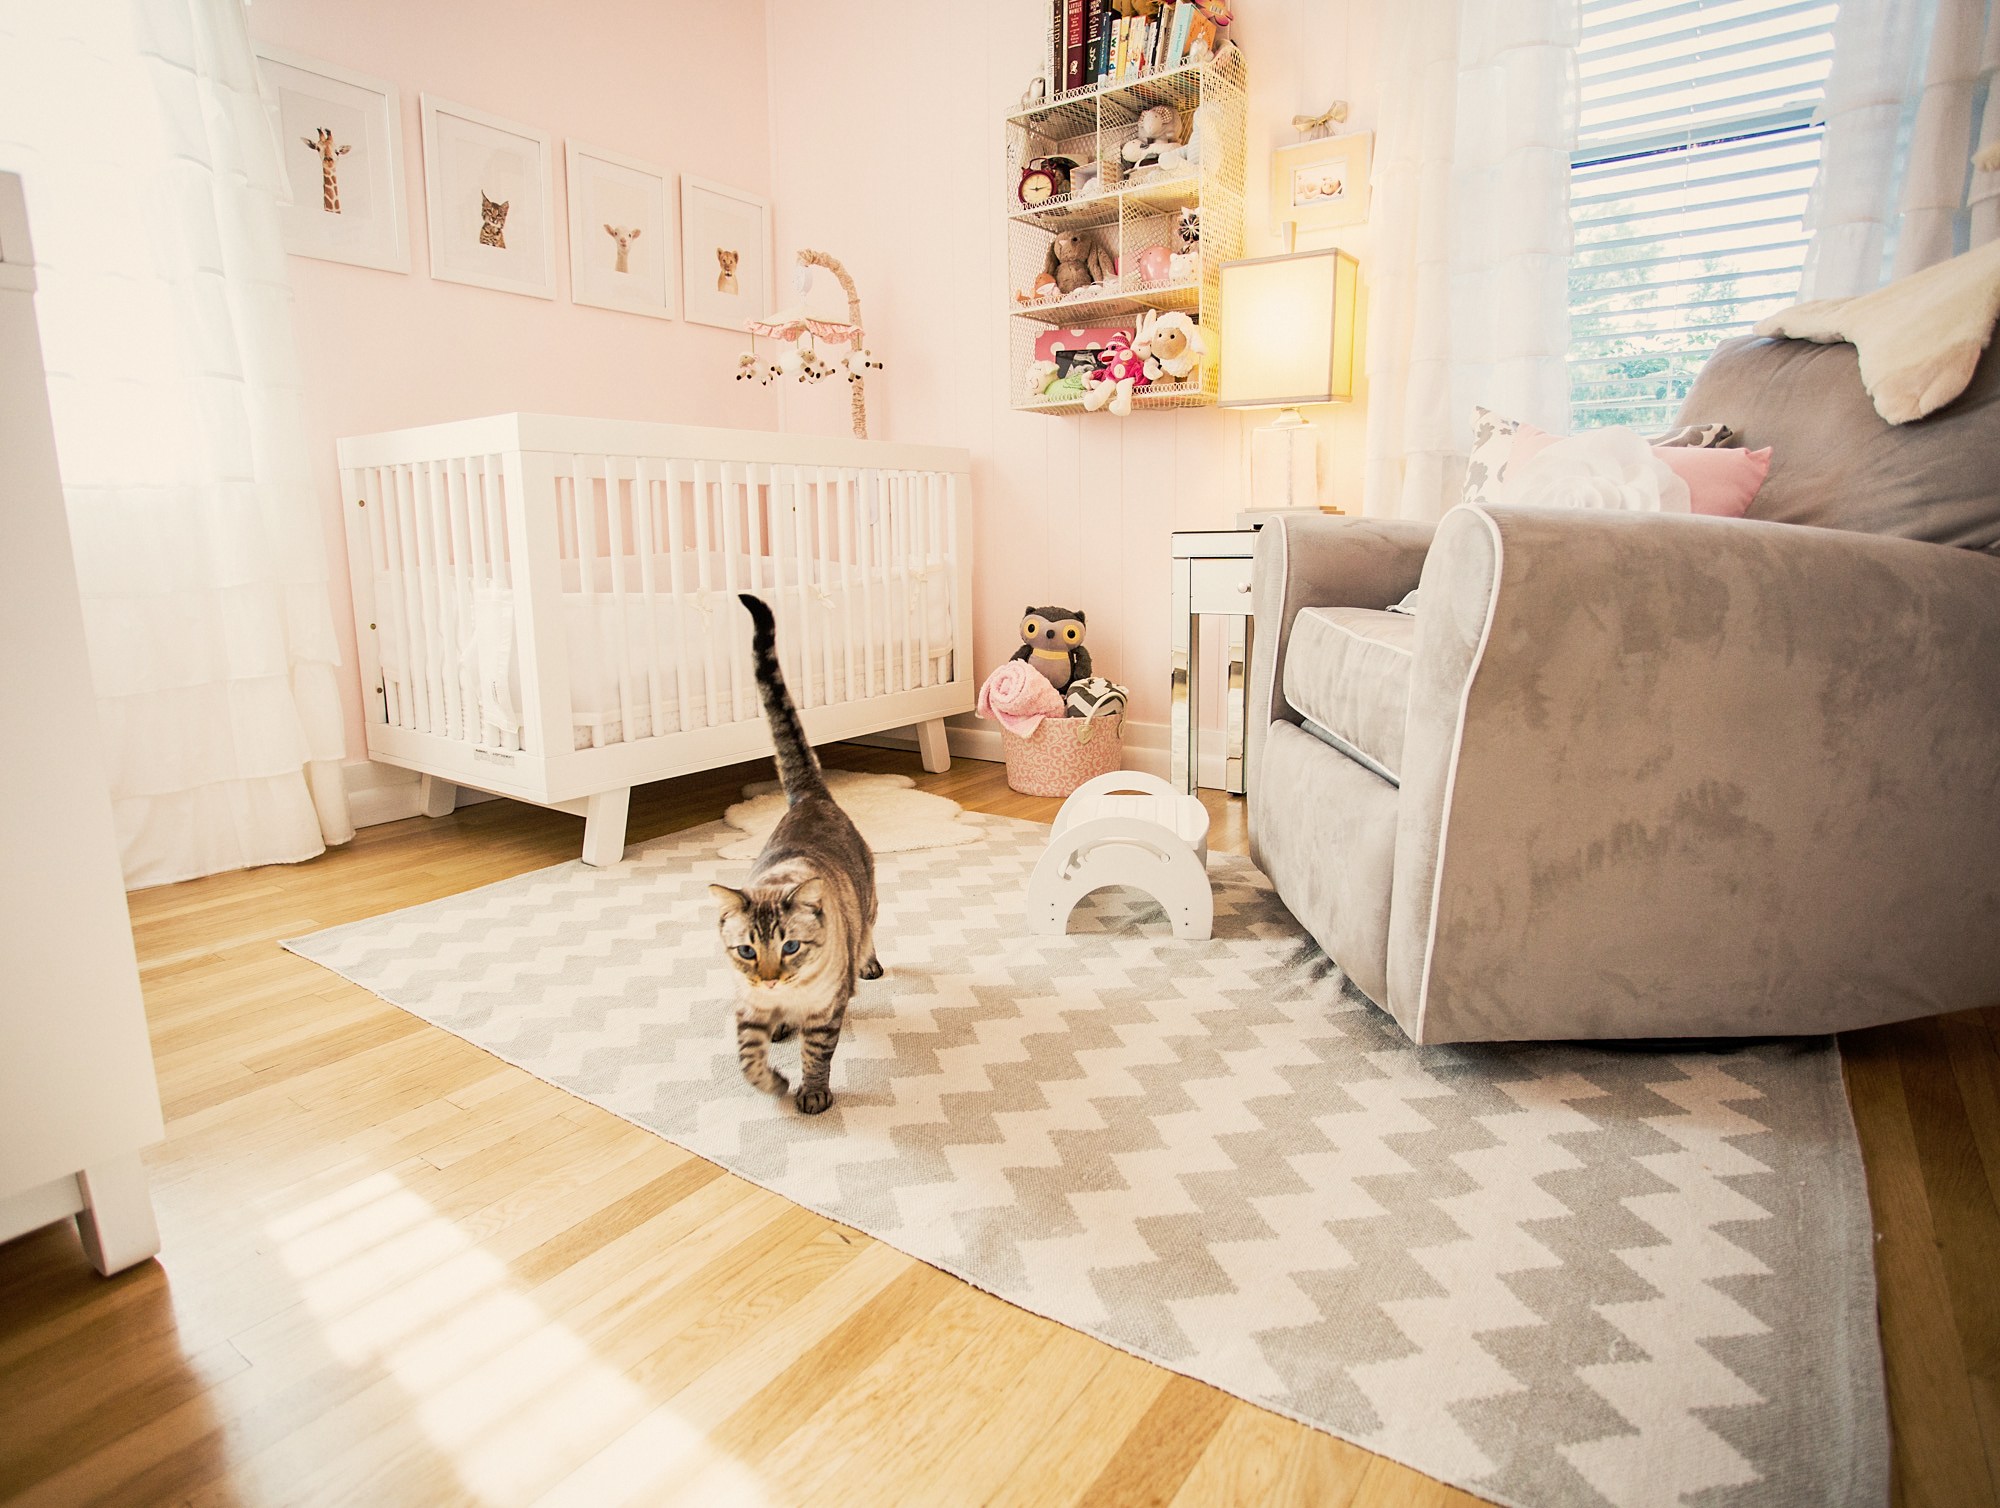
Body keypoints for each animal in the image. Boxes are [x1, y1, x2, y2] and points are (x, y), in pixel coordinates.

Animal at [712, 592, 884, 1112]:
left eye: (791, 946)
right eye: (747, 951)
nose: (770, 978)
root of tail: (811, 797)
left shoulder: (824, 1013)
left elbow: (816, 1055)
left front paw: (810, 1096)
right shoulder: (747, 1008)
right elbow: (749, 1061)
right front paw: (773, 1084)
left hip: (869, 897)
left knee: (869, 932)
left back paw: (867, 966)